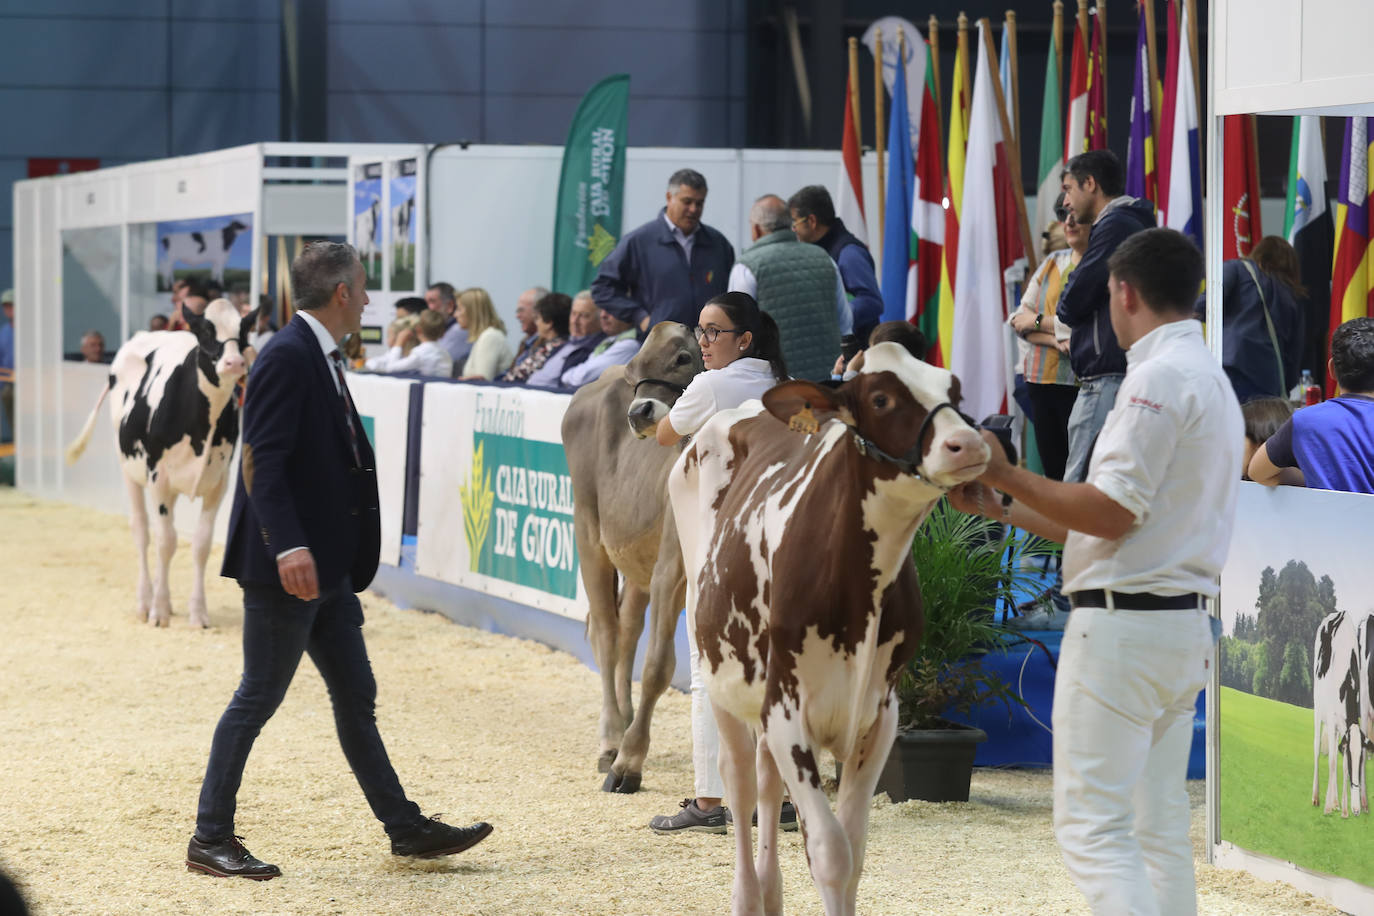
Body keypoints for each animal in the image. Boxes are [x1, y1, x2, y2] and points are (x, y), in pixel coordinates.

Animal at [64, 300, 262, 631]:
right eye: (205, 331)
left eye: (243, 331)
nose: (235, 362)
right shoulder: (159, 477)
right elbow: (166, 542)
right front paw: (157, 611)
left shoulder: (218, 482)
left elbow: (201, 545)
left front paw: (198, 613)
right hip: (129, 468)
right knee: (143, 532)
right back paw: (147, 600)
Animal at [560, 324, 703, 796]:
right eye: (635, 368)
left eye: (683, 357)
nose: (639, 413)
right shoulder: (671, 571)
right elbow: (658, 666)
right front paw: (629, 763)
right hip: (589, 534)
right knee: (606, 634)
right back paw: (611, 741)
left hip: (638, 560)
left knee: (625, 631)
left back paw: (622, 724)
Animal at [665, 343, 989, 916]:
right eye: (881, 397)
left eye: (953, 389)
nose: (968, 443)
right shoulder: (787, 712)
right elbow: (830, 852)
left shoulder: (880, 716)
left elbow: (854, 851)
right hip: (721, 678)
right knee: (740, 784)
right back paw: (747, 896)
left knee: (766, 786)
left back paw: (770, 894)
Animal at [1308, 609, 1374, 818]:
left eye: (1359, 762)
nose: (1356, 811)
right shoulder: (1331, 717)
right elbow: (1331, 762)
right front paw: (1329, 806)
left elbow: (1342, 765)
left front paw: (1345, 809)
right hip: (1319, 707)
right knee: (1316, 747)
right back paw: (1317, 797)